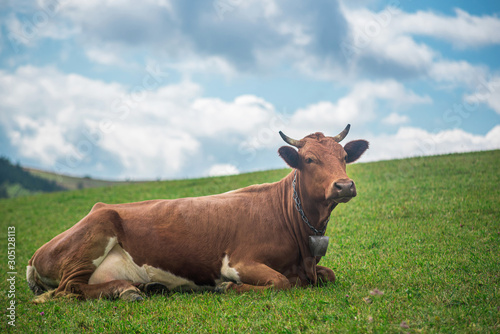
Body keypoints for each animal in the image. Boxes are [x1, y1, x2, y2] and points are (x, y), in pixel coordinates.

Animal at [26, 125, 368, 302]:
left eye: (343, 157)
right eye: (309, 159)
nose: (344, 185)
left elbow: (328, 274)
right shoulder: (239, 261)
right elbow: (280, 282)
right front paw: (227, 287)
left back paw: (145, 287)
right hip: (96, 230)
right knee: (67, 289)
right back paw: (125, 291)